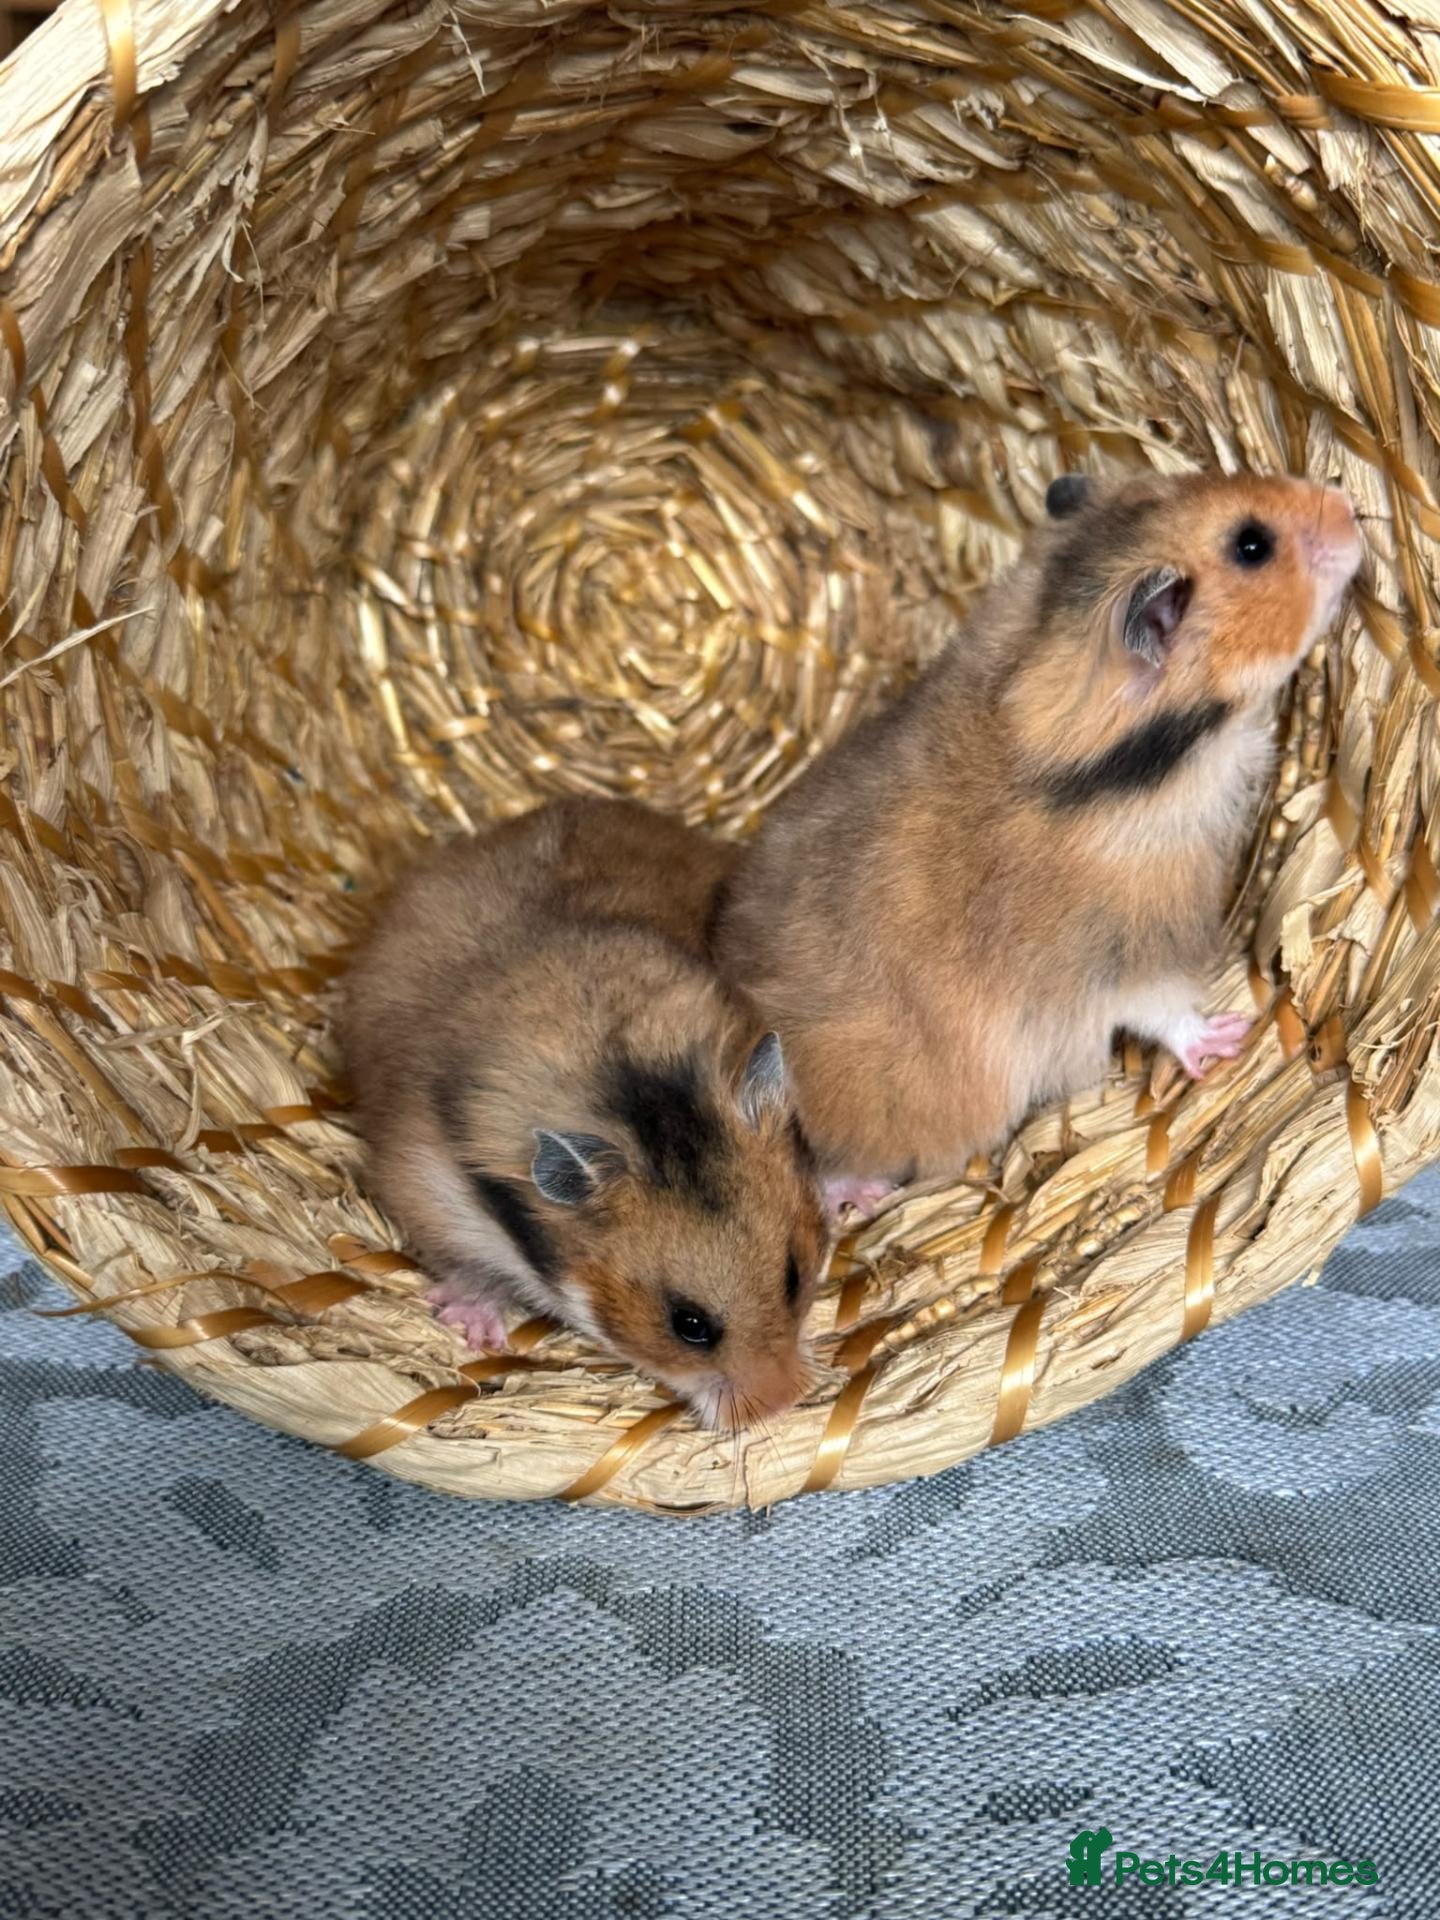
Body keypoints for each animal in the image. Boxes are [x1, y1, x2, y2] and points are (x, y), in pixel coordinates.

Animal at [341, 798, 828, 1428]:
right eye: (688, 1325)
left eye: (793, 1277)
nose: (781, 1405)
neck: (626, 1086)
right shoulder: (427, 1189)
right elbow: (466, 1265)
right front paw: (476, 1332)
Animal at [716, 471, 1363, 1204]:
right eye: (1252, 546)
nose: (1351, 508)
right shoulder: (1118, 952)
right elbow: (1164, 1009)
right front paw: (1228, 1038)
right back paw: (860, 1197)